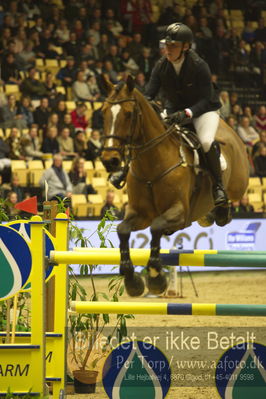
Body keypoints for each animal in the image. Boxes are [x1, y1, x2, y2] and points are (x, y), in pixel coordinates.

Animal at [100, 76, 249, 298]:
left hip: (239, 183)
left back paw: (220, 208)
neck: (152, 165)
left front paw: (156, 276)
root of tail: (228, 127)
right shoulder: (140, 214)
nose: (109, 160)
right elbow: (123, 229)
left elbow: (156, 227)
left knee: (227, 201)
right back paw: (208, 216)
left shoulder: (179, 212)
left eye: (128, 114)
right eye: (103, 112)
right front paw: (131, 279)